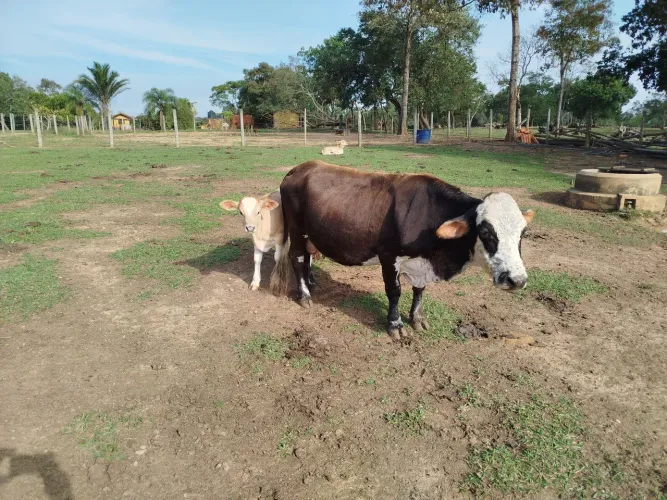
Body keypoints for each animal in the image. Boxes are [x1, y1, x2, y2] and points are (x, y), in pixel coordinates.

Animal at [270, 161, 534, 340]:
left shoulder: (421, 264)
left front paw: (417, 318)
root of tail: (298, 169)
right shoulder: (389, 256)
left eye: (523, 233)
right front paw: (395, 324)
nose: (517, 280)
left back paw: (311, 281)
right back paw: (305, 295)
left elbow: (419, 290)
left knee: (308, 257)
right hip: (297, 229)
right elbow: (394, 291)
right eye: (486, 232)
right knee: (298, 257)